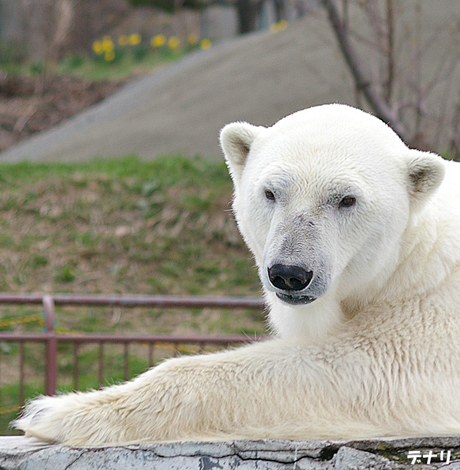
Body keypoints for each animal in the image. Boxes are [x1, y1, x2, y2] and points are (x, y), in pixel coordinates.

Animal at [12, 103, 460, 444]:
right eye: (271, 192)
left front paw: (53, 412)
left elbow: (376, 370)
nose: (289, 273)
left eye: (346, 199)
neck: (408, 259)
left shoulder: (430, 313)